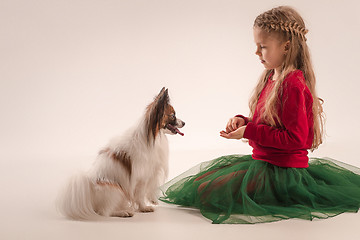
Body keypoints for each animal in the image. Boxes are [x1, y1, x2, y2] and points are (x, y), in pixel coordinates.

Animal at [58, 87, 186, 219]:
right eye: (173, 116)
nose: (184, 123)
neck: (153, 136)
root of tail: (89, 189)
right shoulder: (142, 176)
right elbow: (140, 194)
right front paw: (144, 208)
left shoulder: (152, 172)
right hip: (116, 191)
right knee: (104, 212)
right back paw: (124, 212)